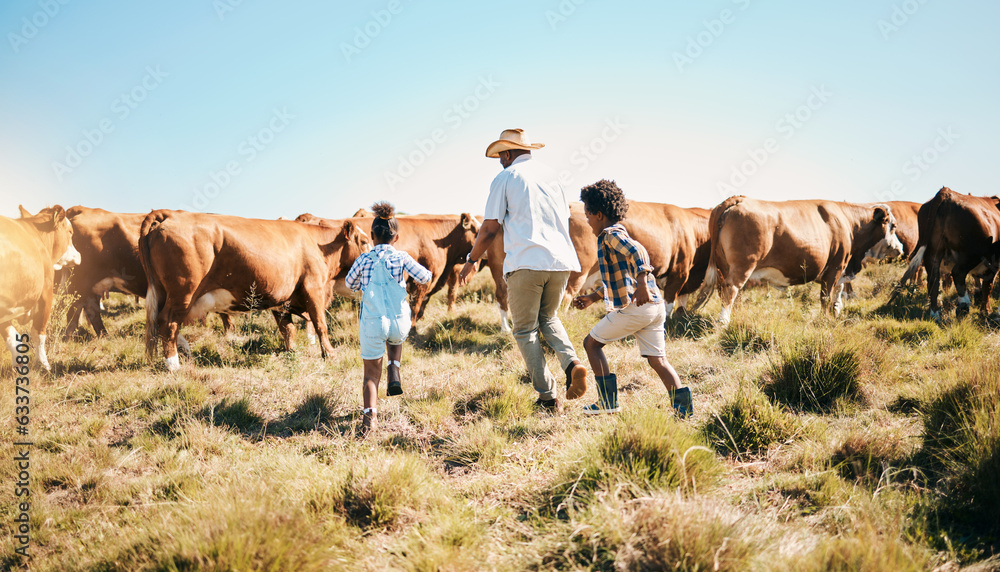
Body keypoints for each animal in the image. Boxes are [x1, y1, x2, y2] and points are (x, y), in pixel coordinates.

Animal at [1, 206, 80, 370]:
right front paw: (43, 365)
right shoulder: (46, 294)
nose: (79, 254)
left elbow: (11, 337)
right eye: (70, 232)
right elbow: (38, 333)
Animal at [139, 210, 370, 370]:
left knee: (163, 323)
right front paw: (329, 354)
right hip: (183, 292)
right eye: (364, 241)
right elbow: (321, 324)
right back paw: (173, 365)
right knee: (168, 322)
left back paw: (184, 352)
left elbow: (288, 329)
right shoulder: (313, 289)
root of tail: (172, 214)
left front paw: (291, 352)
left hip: (166, 294)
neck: (317, 244)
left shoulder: (281, 299)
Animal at [696, 197, 900, 324]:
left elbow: (837, 293)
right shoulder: (835, 267)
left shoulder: (841, 270)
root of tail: (737, 199)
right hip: (742, 266)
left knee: (727, 292)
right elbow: (825, 296)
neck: (848, 223)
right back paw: (724, 321)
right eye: (893, 226)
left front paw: (836, 311)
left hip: (723, 267)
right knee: (731, 290)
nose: (900, 248)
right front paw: (826, 319)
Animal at [900, 190, 1000, 320]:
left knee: (933, 279)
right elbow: (988, 286)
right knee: (958, 273)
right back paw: (964, 305)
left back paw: (935, 314)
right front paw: (986, 311)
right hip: (973, 254)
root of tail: (947, 192)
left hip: (933, 251)